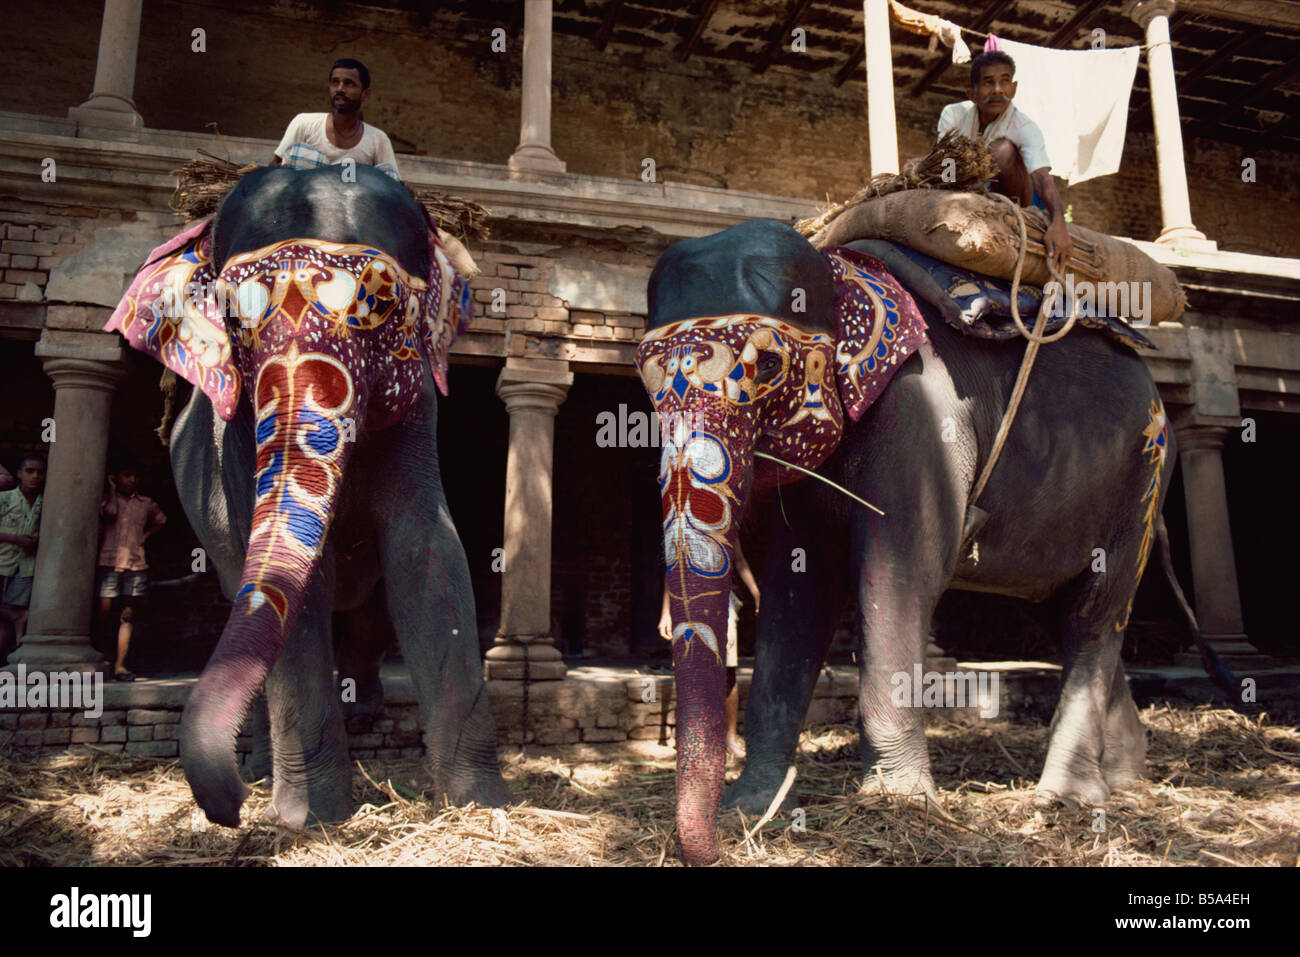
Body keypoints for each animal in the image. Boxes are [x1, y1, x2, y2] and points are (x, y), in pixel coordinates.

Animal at [104, 162, 509, 821]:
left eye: (382, 303)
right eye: (231, 317)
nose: (225, 810)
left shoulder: (419, 409)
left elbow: (428, 549)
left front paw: (481, 804)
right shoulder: (234, 434)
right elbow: (294, 587)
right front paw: (308, 819)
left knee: (368, 617)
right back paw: (266, 774)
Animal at [634, 221, 1190, 863]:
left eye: (767, 363)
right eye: (644, 381)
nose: (719, 847)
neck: (839, 272)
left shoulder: (923, 412)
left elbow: (902, 568)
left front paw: (897, 803)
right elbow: (799, 591)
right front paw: (751, 808)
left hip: (1144, 475)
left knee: (1094, 616)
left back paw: (1067, 800)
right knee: (1063, 612)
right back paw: (1125, 778)